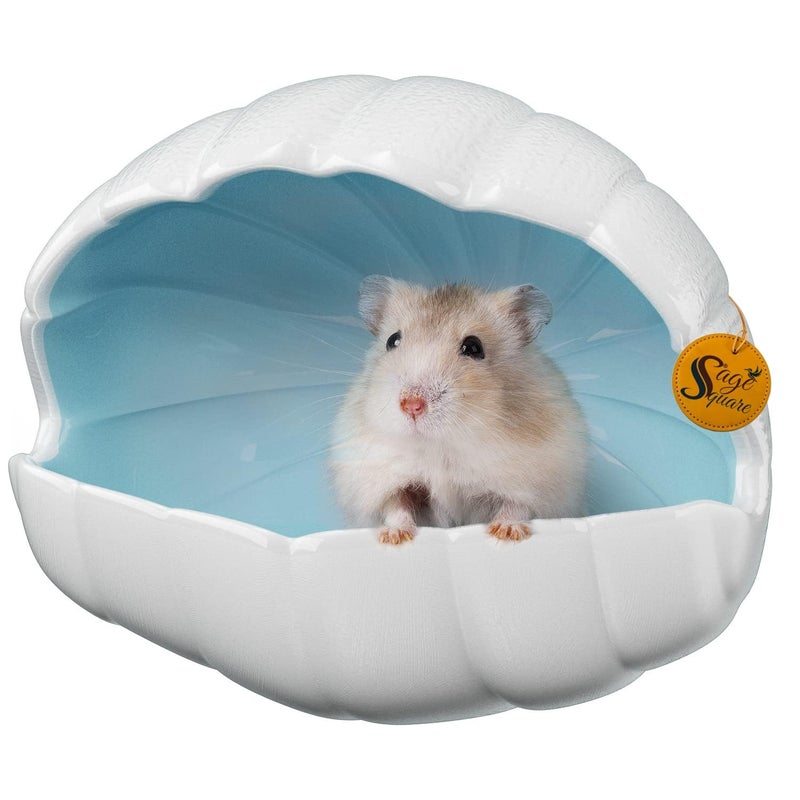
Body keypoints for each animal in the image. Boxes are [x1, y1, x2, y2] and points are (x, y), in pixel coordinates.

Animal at [329, 276, 589, 545]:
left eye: (474, 347)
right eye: (392, 340)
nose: (411, 405)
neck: (440, 444)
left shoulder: (533, 481)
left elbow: (515, 505)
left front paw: (505, 533)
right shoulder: (385, 477)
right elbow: (396, 504)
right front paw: (394, 537)